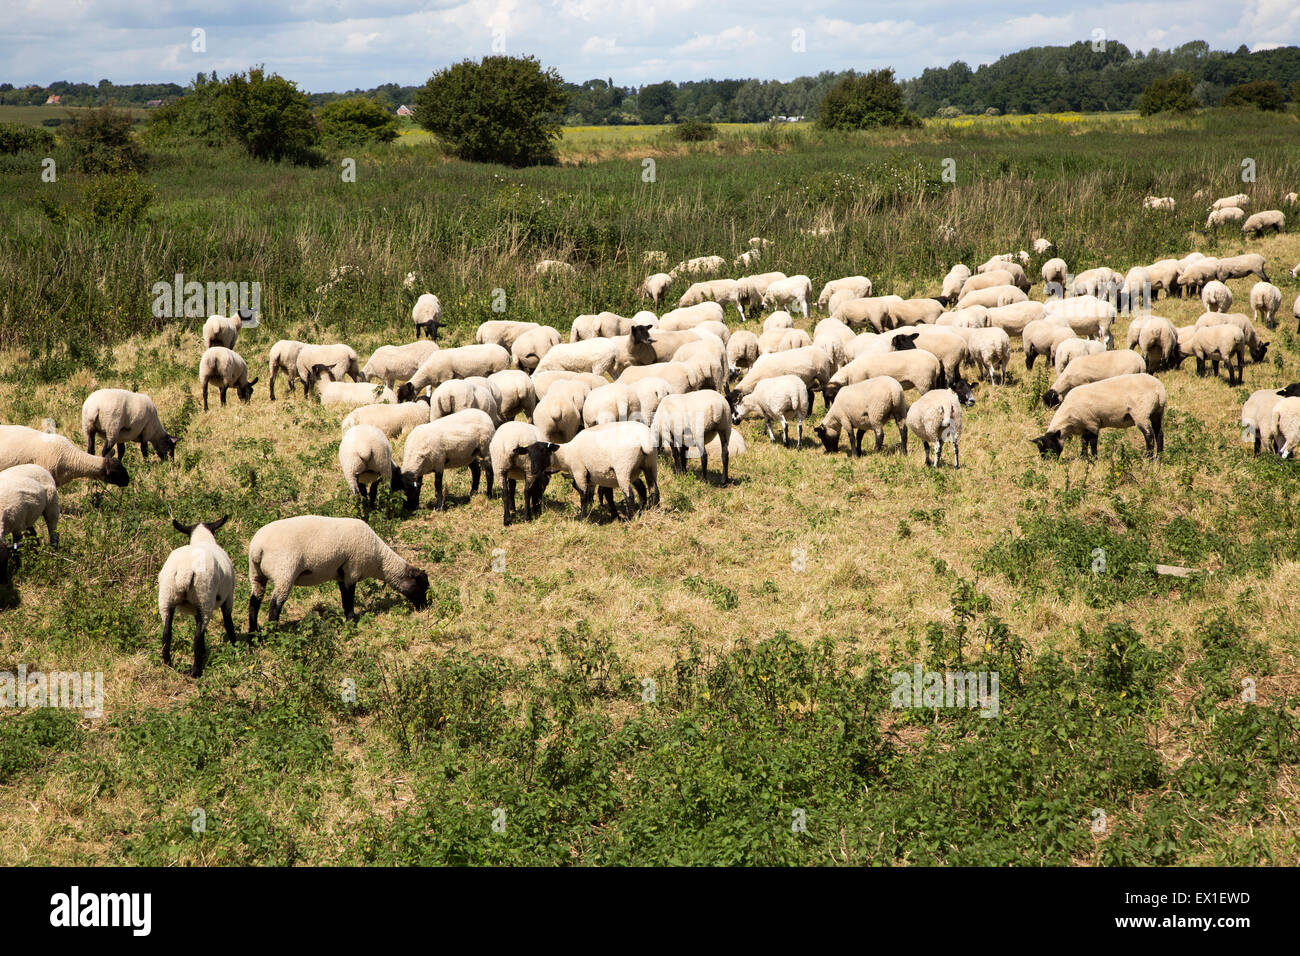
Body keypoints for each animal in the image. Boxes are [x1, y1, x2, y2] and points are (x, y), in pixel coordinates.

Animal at [156, 516, 235, 677]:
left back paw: (168, 664)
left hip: (167, 598)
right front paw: (236, 645)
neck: (203, 539)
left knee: (167, 634)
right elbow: (228, 622)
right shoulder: (228, 596)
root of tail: (185, 570)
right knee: (197, 638)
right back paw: (196, 671)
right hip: (205, 598)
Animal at [248, 516, 429, 630]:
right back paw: (273, 635)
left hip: (256, 573)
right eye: (422, 586)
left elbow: (344, 596)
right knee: (275, 605)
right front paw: (351, 621)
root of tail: (257, 548)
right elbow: (349, 598)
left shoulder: (341, 574)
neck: (379, 560)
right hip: (284, 572)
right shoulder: (352, 570)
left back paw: (253, 637)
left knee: (254, 603)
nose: (425, 608)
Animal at [1031, 373, 1166, 458]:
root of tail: (1159, 389)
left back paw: (1149, 457)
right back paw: (1159, 456)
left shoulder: (1092, 423)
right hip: (1157, 412)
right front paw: (1083, 457)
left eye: (1050, 446)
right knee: (1159, 433)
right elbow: (1083, 442)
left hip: (1140, 413)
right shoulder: (1084, 426)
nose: (1048, 463)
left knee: (1149, 435)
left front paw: (1094, 459)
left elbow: (1092, 442)